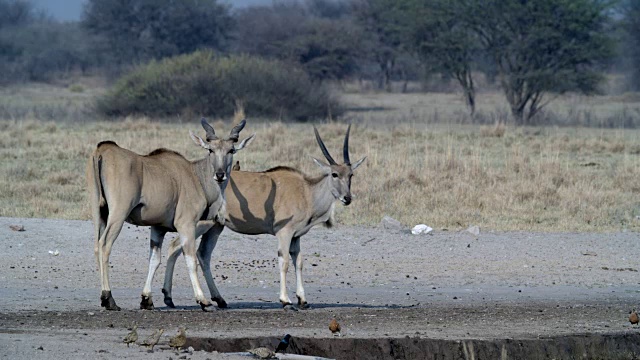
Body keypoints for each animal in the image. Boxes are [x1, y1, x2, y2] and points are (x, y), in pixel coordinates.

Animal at [85, 118, 255, 310]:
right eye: (210, 150)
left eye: (231, 150)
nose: (220, 175)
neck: (196, 176)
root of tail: (102, 151)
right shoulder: (186, 224)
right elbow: (191, 259)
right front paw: (202, 300)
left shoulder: (157, 228)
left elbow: (154, 259)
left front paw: (147, 299)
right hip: (118, 215)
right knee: (105, 245)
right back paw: (109, 298)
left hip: (99, 213)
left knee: (97, 246)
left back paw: (104, 297)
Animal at [160, 126, 364, 310]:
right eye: (334, 174)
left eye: (351, 175)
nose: (347, 198)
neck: (306, 191)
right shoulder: (284, 233)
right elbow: (285, 262)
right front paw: (286, 300)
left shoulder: (296, 237)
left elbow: (299, 262)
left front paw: (303, 299)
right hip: (199, 224)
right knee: (176, 247)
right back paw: (170, 297)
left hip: (216, 227)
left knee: (202, 254)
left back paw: (217, 299)